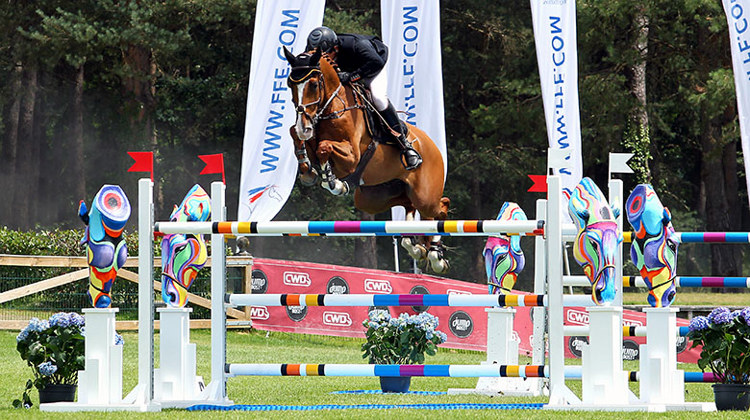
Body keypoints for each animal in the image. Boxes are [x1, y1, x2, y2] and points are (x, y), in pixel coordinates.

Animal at [284, 47, 452, 274]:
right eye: (290, 84)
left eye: (313, 84)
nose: (305, 126)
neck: (332, 106)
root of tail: (432, 146)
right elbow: (296, 136)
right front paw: (308, 171)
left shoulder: (352, 157)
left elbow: (324, 146)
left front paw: (332, 180)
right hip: (373, 198)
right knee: (409, 204)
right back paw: (415, 246)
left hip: (425, 196)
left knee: (440, 207)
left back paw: (436, 255)